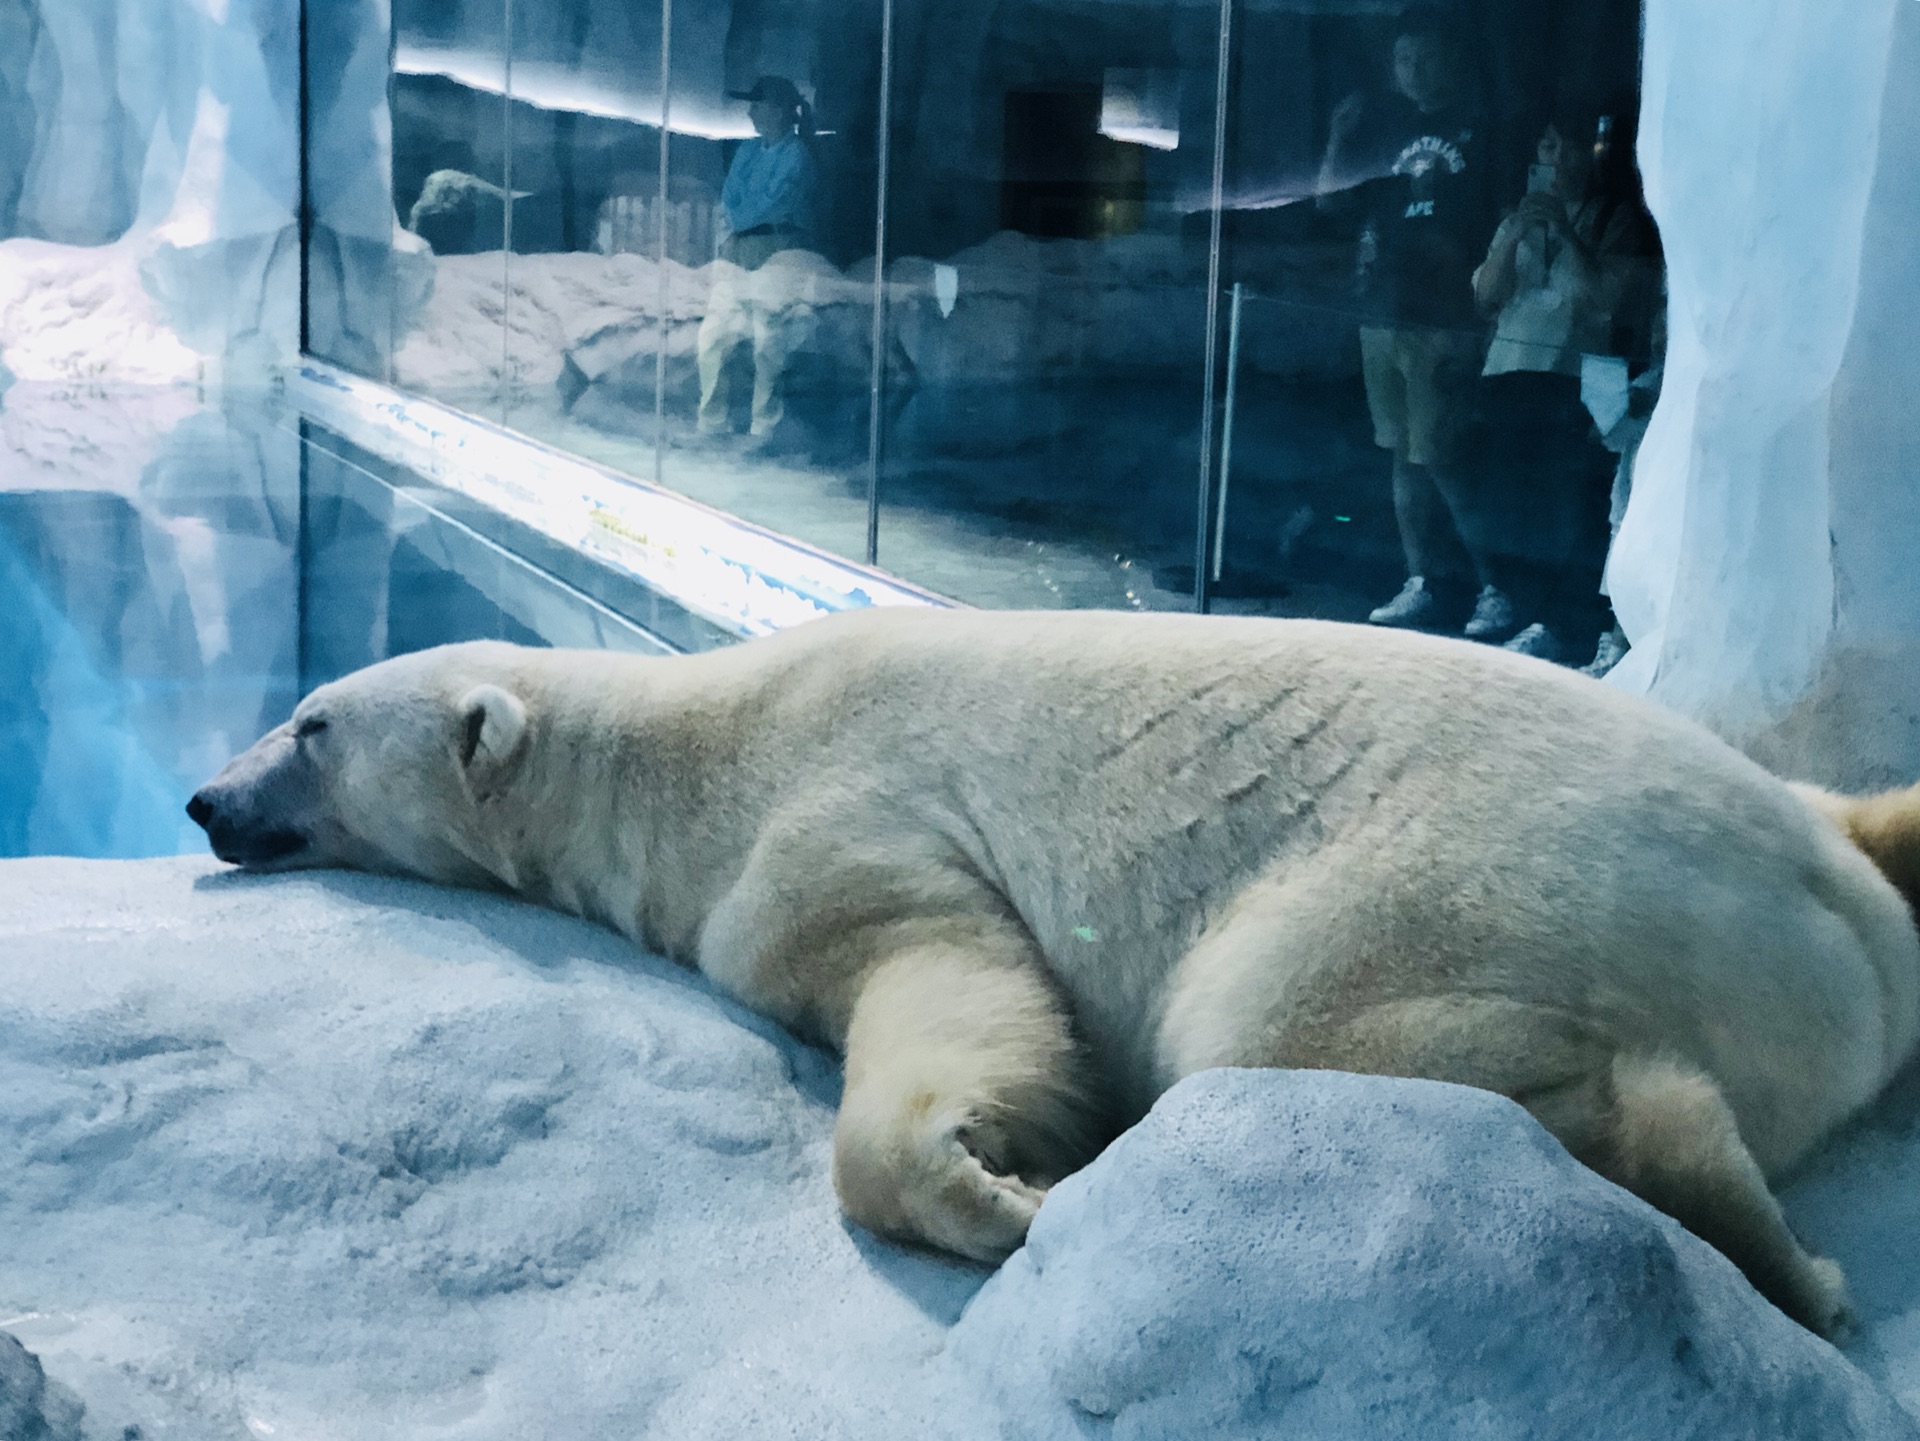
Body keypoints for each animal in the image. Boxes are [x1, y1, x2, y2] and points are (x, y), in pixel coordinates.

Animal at [187, 606, 1920, 1327]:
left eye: (312, 720)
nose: (205, 798)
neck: (681, 750)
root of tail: (1849, 924)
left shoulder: (843, 816)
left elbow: (952, 979)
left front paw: (998, 1191)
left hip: (1480, 879)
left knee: (1287, 1016)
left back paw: (1776, 1258)